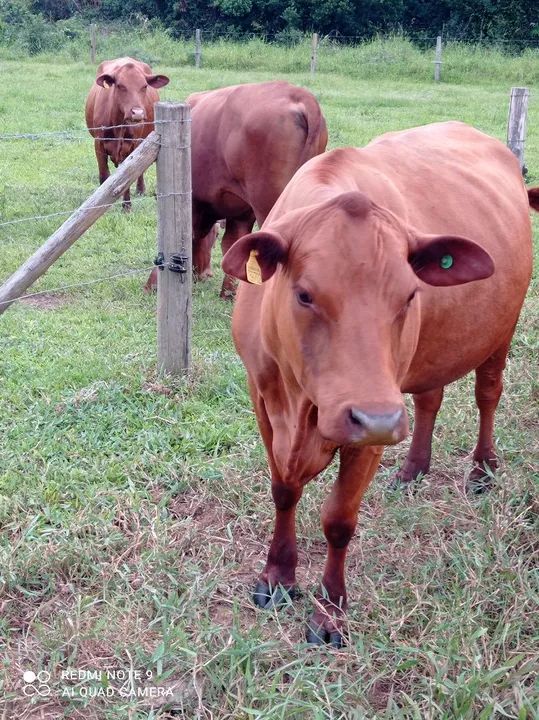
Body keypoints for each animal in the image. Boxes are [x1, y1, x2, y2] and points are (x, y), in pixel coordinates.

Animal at [85, 57, 169, 209]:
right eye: (120, 85)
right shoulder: (98, 144)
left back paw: (140, 190)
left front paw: (127, 205)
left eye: (144, 86)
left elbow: (128, 175)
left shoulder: (132, 145)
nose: (137, 113)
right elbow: (104, 175)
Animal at [145, 80, 328, 297]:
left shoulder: (193, 203)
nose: (204, 274)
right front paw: (228, 292)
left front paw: (153, 284)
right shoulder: (242, 213)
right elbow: (233, 245)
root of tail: (300, 95)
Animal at [222, 121, 535, 647]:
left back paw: (481, 470)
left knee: (487, 394)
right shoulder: (262, 398)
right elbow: (283, 490)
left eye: (409, 295)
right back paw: (412, 470)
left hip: (500, 330)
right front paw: (277, 578)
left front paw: (329, 613)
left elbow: (338, 521)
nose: (380, 419)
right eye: (304, 294)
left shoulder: (366, 435)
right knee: (429, 398)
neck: (302, 408)